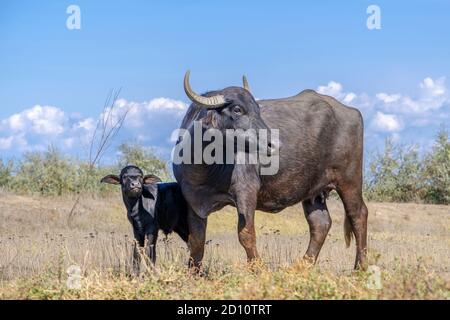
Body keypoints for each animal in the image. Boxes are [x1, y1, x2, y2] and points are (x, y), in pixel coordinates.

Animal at [173, 71, 370, 272]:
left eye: (257, 109)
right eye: (237, 109)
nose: (274, 143)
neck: (205, 168)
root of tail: (350, 111)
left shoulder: (246, 191)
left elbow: (246, 234)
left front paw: (258, 268)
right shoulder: (193, 201)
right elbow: (197, 240)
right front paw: (193, 272)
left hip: (349, 180)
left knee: (358, 215)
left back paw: (360, 267)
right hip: (313, 191)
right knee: (320, 223)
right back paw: (301, 266)